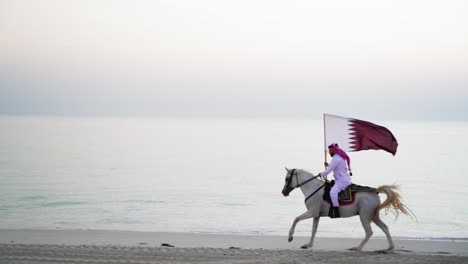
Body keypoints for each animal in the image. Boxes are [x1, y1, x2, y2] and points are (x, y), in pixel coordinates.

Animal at [282, 167, 414, 252]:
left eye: (287, 178)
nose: (283, 192)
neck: (313, 188)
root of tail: (375, 192)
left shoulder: (311, 212)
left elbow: (296, 219)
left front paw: (290, 237)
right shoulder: (316, 215)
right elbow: (314, 230)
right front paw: (308, 245)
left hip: (364, 216)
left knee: (369, 232)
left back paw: (357, 248)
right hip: (373, 216)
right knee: (385, 228)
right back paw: (389, 248)